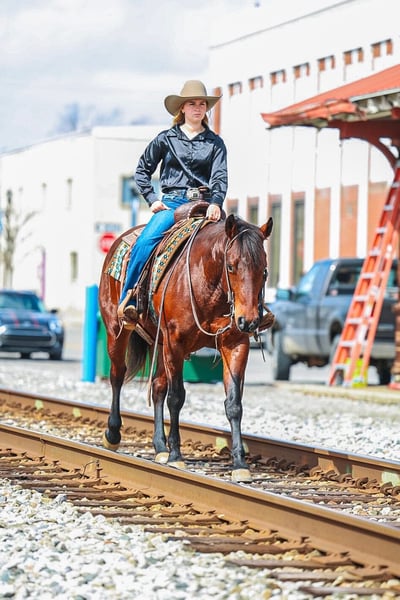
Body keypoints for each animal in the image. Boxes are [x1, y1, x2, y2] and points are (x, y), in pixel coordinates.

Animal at [99, 209, 273, 482]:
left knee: (157, 387)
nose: (249, 320)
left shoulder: (235, 344)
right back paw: (113, 435)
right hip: (117, 331)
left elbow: (234, 404)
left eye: (263, 269)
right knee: (117, 375)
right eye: (231, 266)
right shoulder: (175, 343)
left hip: (159, 344)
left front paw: (239, 464)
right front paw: (176, 456)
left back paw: (159, 446)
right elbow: (176, 397)